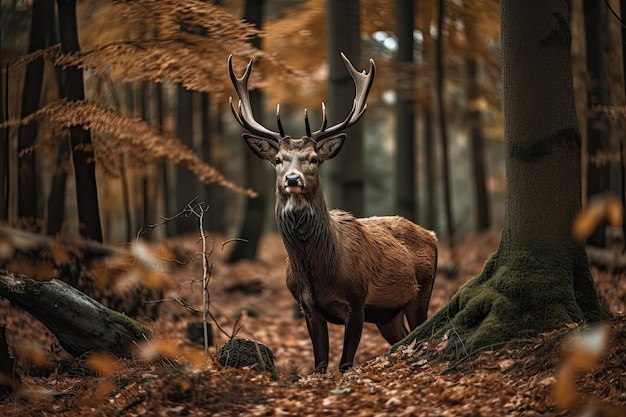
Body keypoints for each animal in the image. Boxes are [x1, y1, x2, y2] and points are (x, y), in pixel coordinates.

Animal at [227, 52, 436, 374]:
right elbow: (320, 363)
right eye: (278, 159)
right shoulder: (307, 307)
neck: (317, 270)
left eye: (314, 159)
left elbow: (344, 363)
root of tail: (433, 235)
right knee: (400, 337)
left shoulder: (357, 301)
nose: (292, 179)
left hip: (422, 291)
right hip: (388, 315)